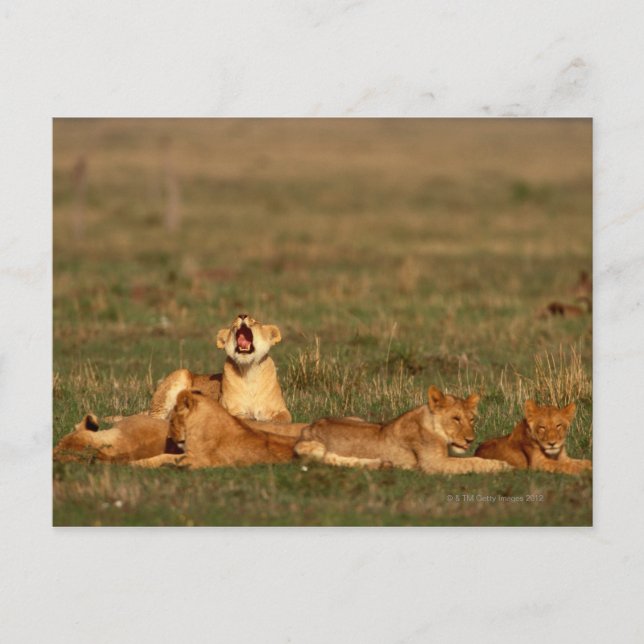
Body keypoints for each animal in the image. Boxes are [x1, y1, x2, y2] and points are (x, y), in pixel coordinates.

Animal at [148, 314, 292, 425]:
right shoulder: (230, 409)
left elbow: (283, 419)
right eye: (233, 324)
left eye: (255, 322)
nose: (242, 315)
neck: (249, 370)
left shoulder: (282, 410)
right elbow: (242, 417)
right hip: (181, 374)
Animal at [294, 385, 512, 474]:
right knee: (327, 459)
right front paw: (503, 466)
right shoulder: (433, 464)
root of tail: (309, 427)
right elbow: (471, 462)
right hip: (314, 447)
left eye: (472, 419)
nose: (470, 440)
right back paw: (382, 464)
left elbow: (473, 459)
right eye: (456, 419)